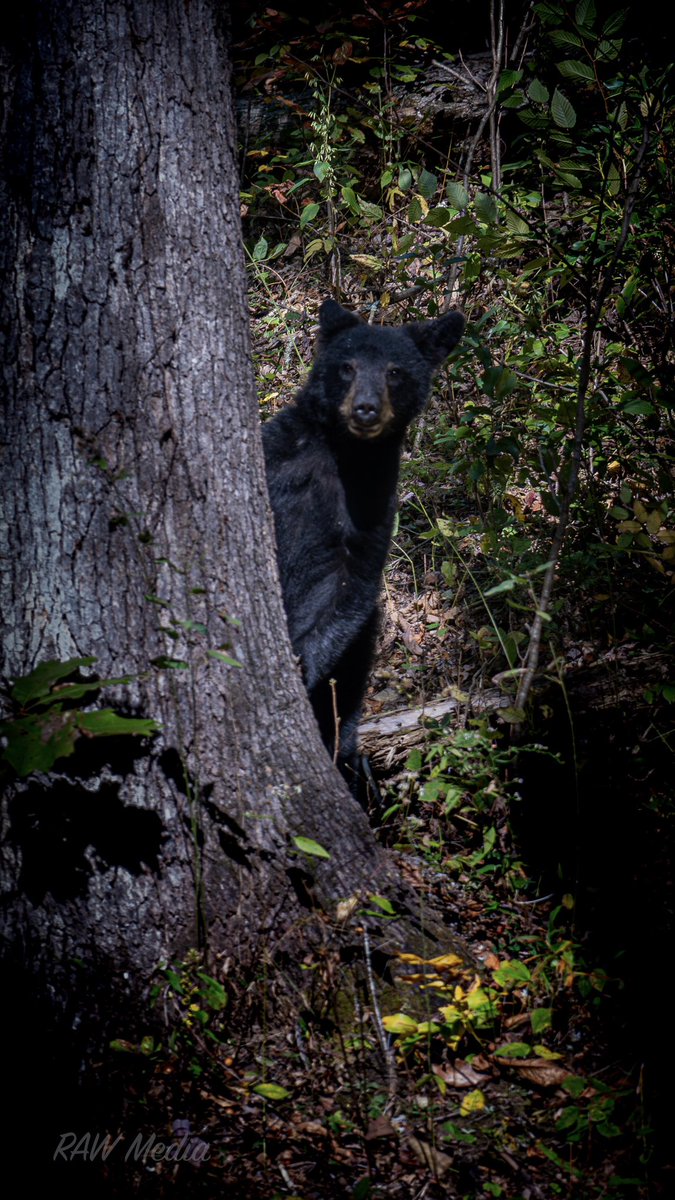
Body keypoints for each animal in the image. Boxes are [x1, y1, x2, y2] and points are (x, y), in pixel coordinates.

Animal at [262, 298, 465, 796]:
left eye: (395, 371)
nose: (367, 409)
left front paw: (301, 665)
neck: (345, 455)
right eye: (347, 366)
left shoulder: (372, 505)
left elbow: (350, 589)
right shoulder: (279, 458)